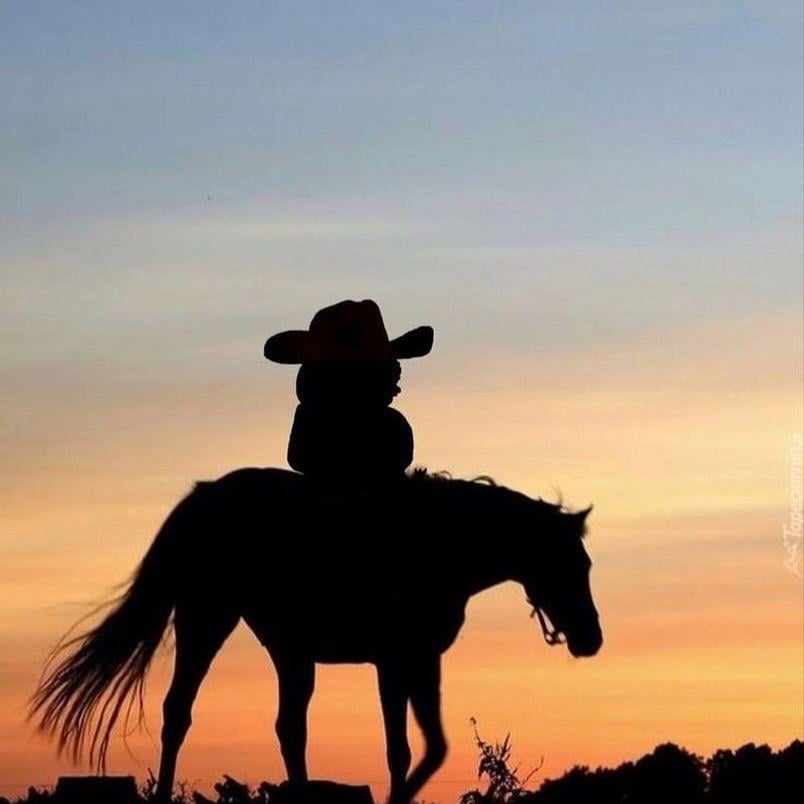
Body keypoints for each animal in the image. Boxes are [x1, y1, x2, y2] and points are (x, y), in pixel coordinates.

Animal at [31, 468, 602, 803]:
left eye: (587, 564)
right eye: (569, 565)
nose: (591, 639)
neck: (437, 543)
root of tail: (205, 495)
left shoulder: (417, 661)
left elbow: (425, 747)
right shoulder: (397, 661)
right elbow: (408, 749)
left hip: (289, 650)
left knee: (288, 727)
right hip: (207, 618)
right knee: (179, 712)